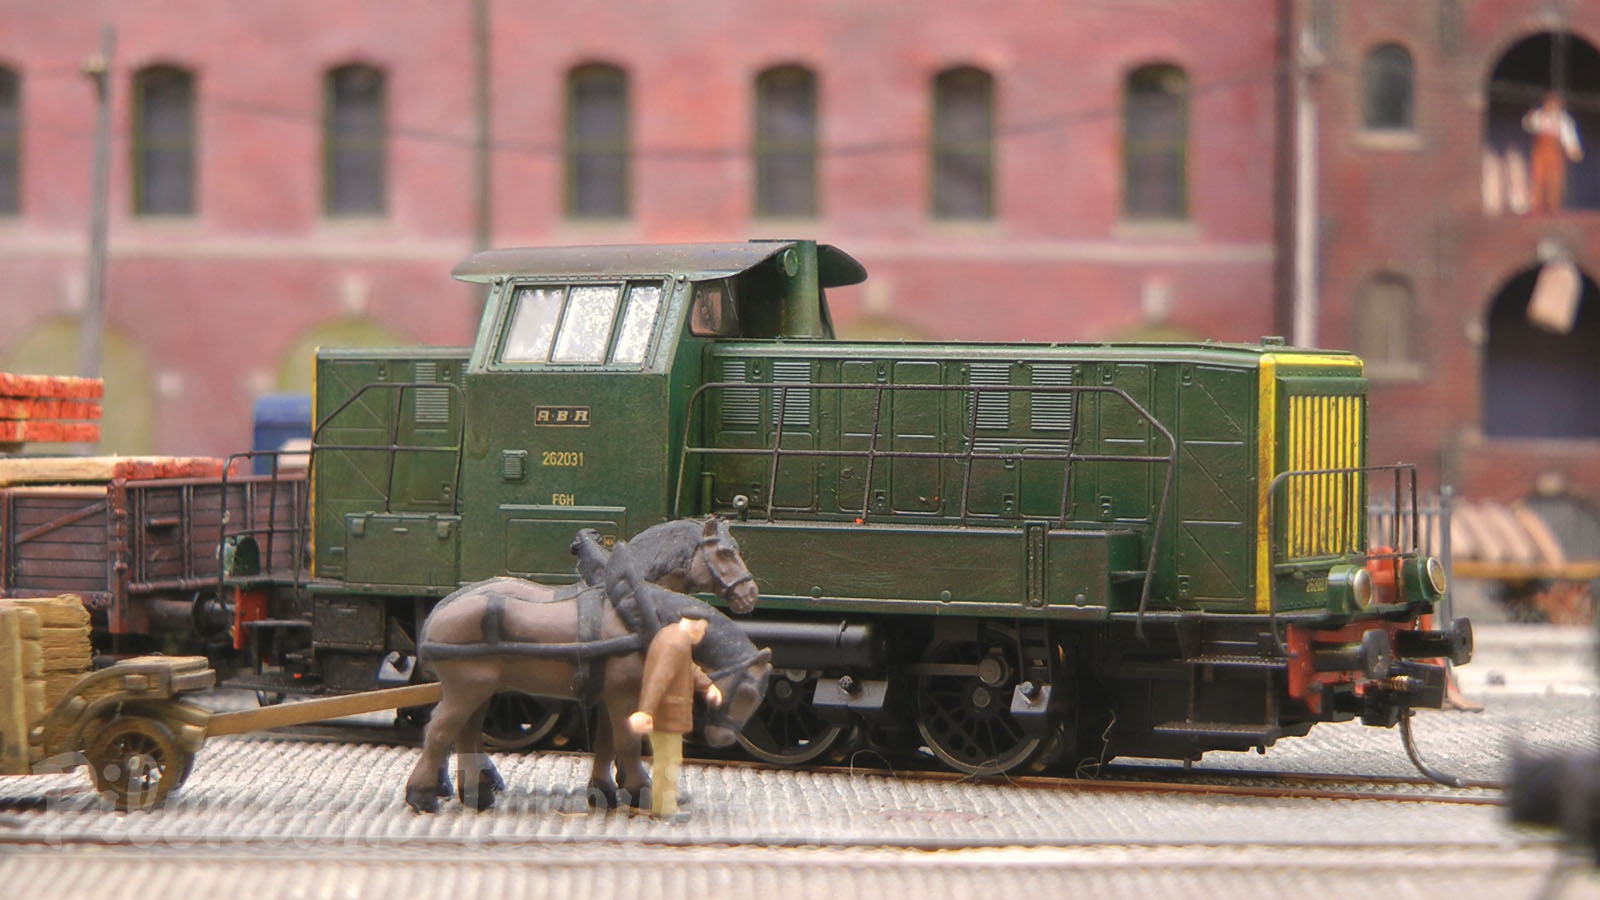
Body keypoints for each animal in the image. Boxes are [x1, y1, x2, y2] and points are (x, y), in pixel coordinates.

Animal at [406, 538, 768, 813]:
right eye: (748, 692)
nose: (723, 739)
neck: (639, 614)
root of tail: (439, 613)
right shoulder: (624, 694)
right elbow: (627, 741)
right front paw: (640, 789)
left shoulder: (612, 693)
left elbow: (607, 741)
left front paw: (604, 790)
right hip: (466, 687)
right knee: (439, 731)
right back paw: (422, 795)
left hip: (478, 690)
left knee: (465, 733)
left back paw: (475, 793)